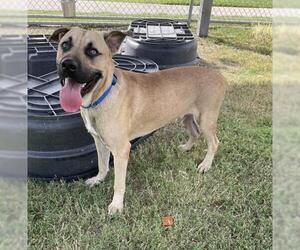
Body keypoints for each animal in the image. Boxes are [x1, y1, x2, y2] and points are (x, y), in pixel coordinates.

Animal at [50, 27, 226, 215]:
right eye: (65, 45)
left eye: (92, 51)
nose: (67, 65)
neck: (102, 94)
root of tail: (218, 75)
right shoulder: (99, 141)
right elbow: (102, 164)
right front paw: (98, 179)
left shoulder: (121, 150)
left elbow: (119, 183)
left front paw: (117, 204)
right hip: (187, 117)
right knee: (194, 133)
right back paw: (187, 147)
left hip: (206, 120)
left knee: (214, 143)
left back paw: (206, 165)